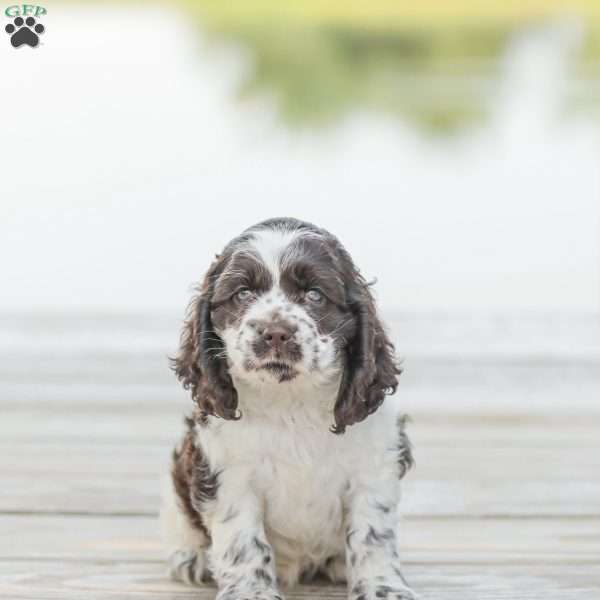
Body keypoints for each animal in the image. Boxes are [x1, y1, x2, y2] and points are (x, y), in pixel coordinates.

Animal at [163, 217, 418, 600]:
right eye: (243, 294)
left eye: (315, 295)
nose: (275, 333)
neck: (291, 402)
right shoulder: (228, 474)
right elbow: (243, 541)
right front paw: (251, 592)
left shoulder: (374, 469)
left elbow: (372, 536)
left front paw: (382, 589)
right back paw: (191, 558)